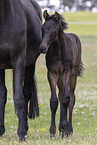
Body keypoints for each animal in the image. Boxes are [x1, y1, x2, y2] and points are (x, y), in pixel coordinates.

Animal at [0, 0, 41, 141]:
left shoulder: (18, 61)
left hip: (30, 65)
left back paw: (25, 128)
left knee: (26, 93)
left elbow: (19, 97)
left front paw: (21, 133)